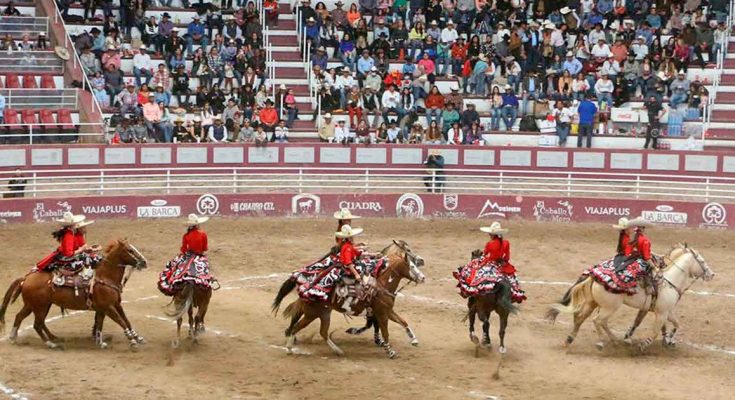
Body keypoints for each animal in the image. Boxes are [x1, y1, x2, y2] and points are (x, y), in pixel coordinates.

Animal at [0, 239, 150, 348]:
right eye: (130, 250)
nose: (144, 262)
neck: (105, 276)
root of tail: (26, 278)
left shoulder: (113, 305)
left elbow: (121, 320)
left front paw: (104, 341)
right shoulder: (108, 307)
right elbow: (121, 321)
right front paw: (132, 340)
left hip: (35, 305)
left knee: (23, 318)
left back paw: (18, 337)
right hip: (39, 306)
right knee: (37, 324)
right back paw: (50, 343)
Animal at [272, 239, 426, 358]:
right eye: (411, 266)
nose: (423, 277)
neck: (381, 284)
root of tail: (307, 286)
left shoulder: (387, 311)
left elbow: (403, 322)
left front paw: (413, 339)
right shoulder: (381, 313)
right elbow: (384, 331)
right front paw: (389, 350)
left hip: (324, 313)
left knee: (322, 332)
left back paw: (337, 350)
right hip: (312, 314)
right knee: (298, 325)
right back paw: (290, 346)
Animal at [548, 245, 716, 352]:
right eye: (702, 261)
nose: (712, 274)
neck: (669, 280)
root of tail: (594, 276)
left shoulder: (665, 312)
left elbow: (676, 324)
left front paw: (669, 340)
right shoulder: (661, 313)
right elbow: (654, 331)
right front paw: (643, 344)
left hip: (593, 303)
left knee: (581, 317)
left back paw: (572, 340)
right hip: (609, 307)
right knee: (597, 321)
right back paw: (602, 342)